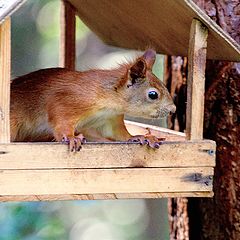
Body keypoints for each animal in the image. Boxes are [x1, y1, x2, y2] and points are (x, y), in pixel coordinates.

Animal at [10, 49, 175, 151]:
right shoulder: (68, 101)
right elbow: (61, 122)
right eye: (153, 95)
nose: (173, 110)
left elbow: (119, 134)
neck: (109, 101)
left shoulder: (110, 120)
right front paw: (71, 138)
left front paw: (138, 137)